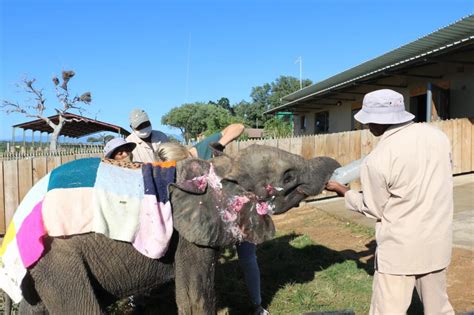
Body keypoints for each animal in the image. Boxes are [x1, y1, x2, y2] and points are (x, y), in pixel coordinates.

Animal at [1, 144, 338, 314]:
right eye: (289, 176)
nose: (335, 170)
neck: (215, 168)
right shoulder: (190, 234)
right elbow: (194, 297)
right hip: (57, 258)